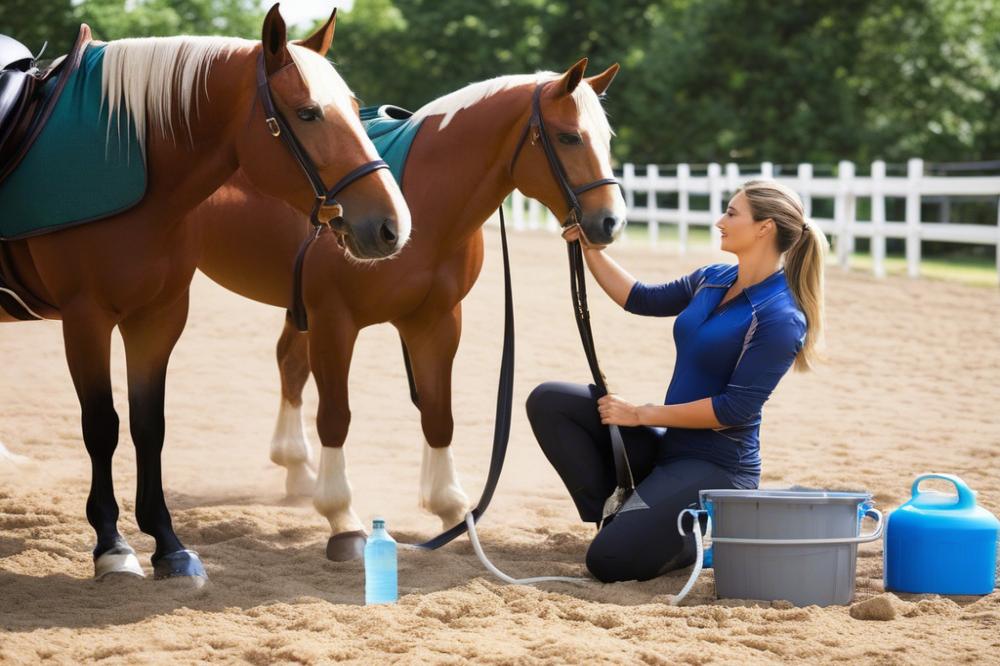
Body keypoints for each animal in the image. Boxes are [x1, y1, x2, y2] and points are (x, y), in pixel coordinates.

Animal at [0, 5, 410, 580]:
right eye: (307, 113)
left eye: (354, 108)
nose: (391, 226)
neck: (133, 161)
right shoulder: (86, 320)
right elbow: (102, 426)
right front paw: (113, 547)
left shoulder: (158, 318)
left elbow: (149, 426)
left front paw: (169, 546)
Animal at [191, 57, 620, 556]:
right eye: (569, 136)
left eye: (607, 138)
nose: (611, 221)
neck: (420, 202)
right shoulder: (334, 321)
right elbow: (336, 416)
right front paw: (342, 517)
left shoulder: (436, 321)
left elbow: (437, 414)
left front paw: (451, 510)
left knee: (290, 367)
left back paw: (297, 469)